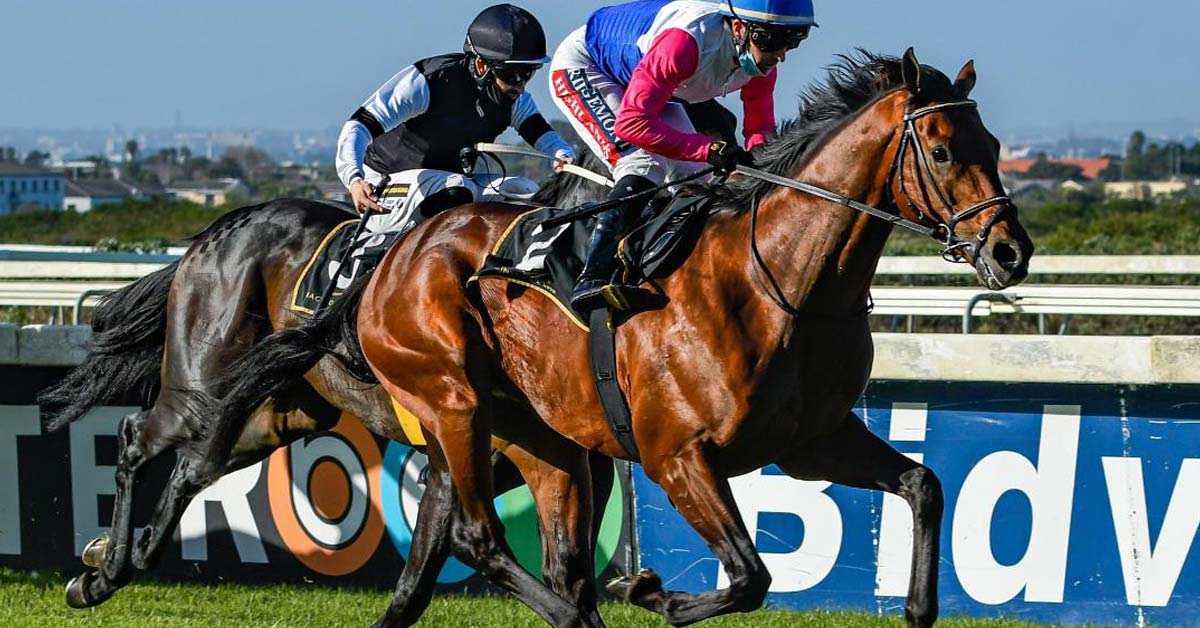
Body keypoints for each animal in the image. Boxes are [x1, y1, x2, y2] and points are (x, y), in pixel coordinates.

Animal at [39, 153, 609, 628]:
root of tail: (219, 230)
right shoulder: (457, 453)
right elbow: (427, 577)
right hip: (201, 382)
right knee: (137, 435)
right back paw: (106, 570)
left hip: (285, 412)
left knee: (195, 466)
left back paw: (112, 561)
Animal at [220, 49, 1036, 628]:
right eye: (939, 148)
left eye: (994, 141)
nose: (1010, 251)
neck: (779, 280)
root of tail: (394, 254)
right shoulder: (678, 455)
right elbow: (749, 576)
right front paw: (651, 592)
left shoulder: (810, 441)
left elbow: (924, 486)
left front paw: (918, 606)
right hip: (452, 402)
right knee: (478, 537)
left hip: (541, 434)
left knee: (539, 552)